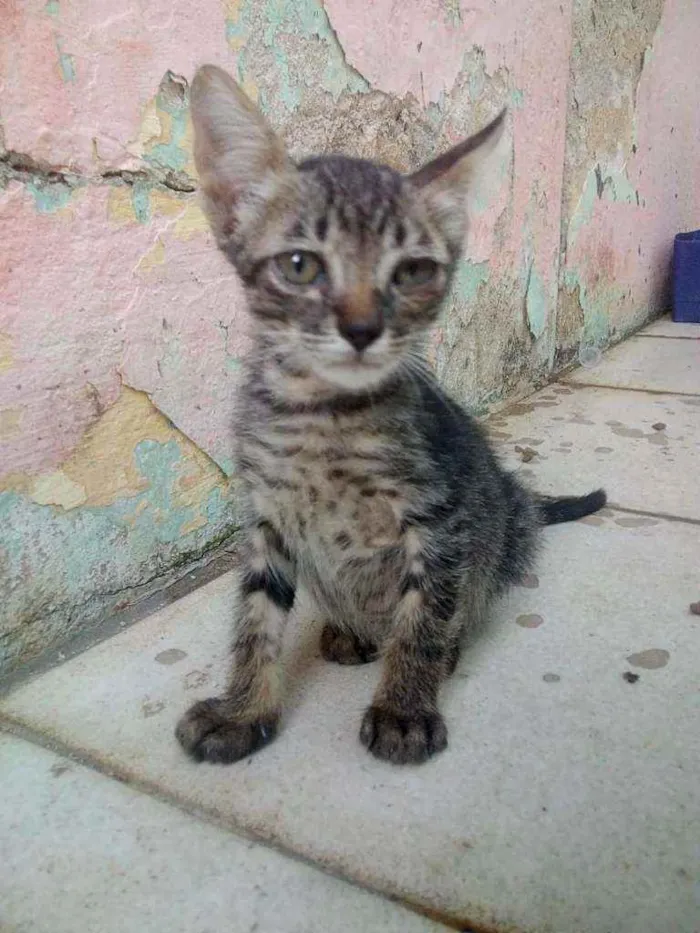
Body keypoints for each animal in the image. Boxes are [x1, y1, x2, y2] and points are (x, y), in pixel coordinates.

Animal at [176, 65, 608, 764]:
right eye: (300, 265)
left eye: (412, 272)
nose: (361, 329)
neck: (325, 418)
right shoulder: (266, 518)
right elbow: (253, 621)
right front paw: (242, 710)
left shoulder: (440, 520)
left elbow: (423, 619)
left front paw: (404, 708)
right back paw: (348, 631)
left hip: (504, 530)